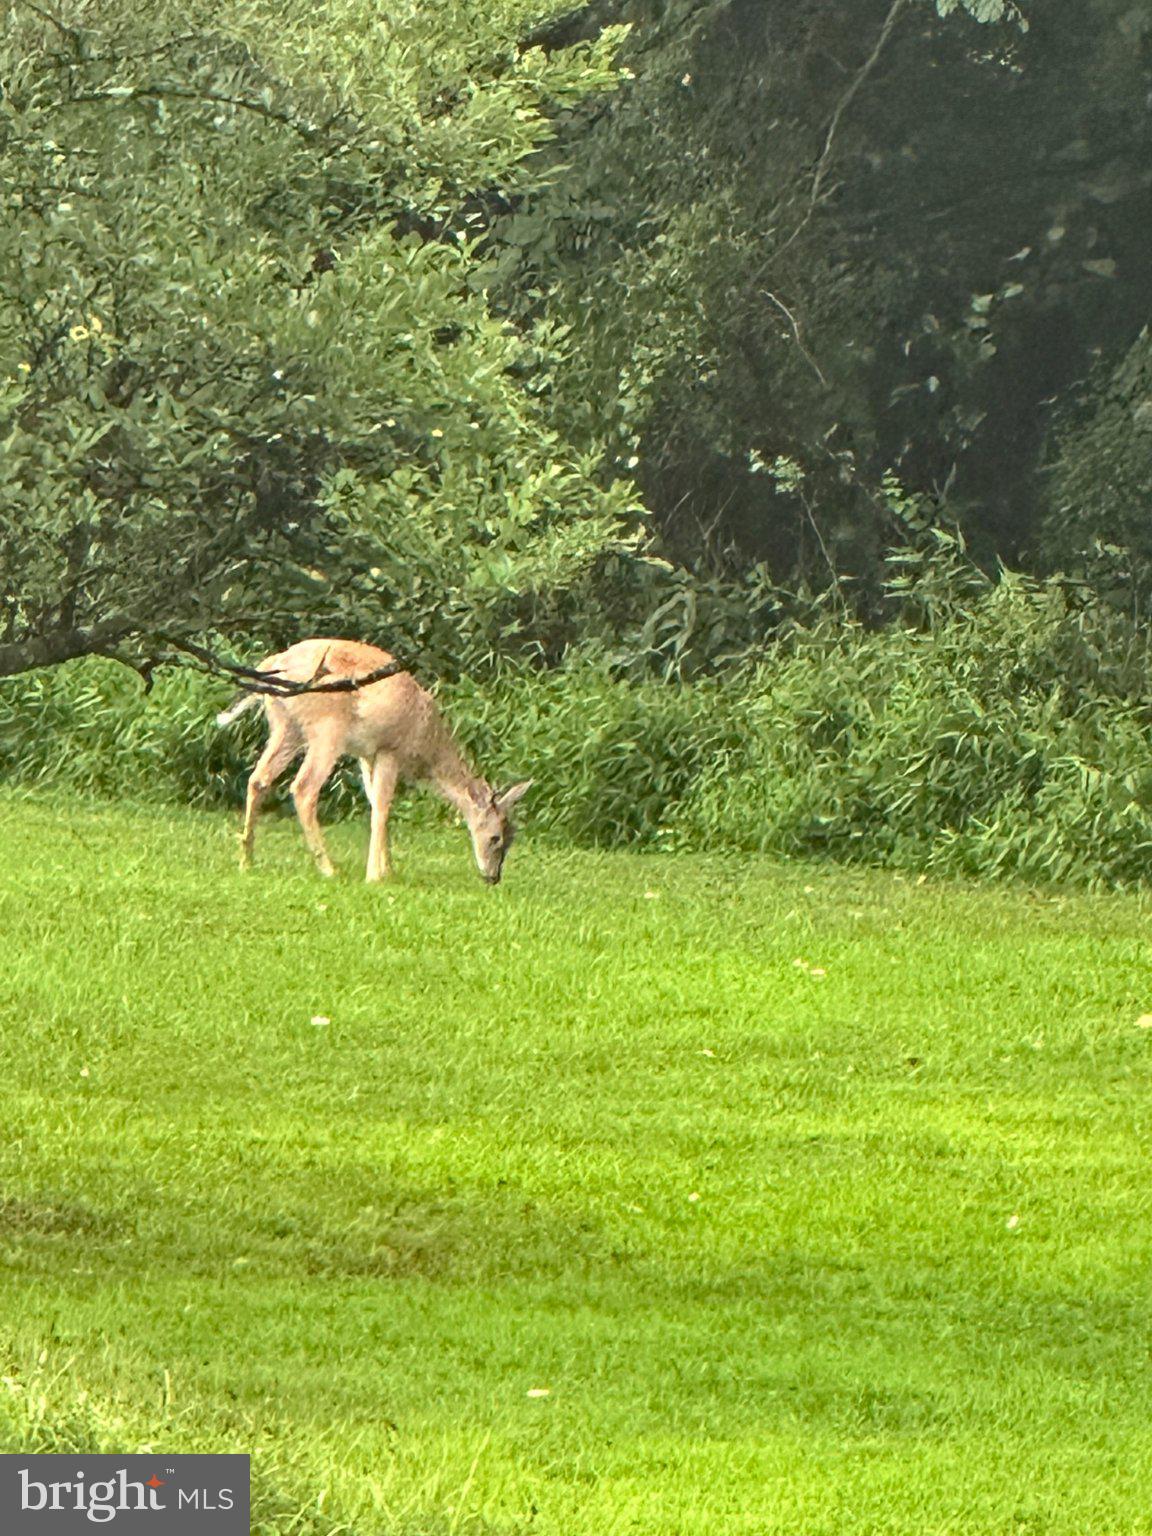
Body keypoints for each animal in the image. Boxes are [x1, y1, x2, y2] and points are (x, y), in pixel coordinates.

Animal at [215, 638, 531, 884]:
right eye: (496, 837)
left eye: (512, 835)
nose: (493, 877)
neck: (426, 744)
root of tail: (275, 663)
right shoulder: (389, 749)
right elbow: (382, 806)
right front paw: (376, 876)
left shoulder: (366, 754)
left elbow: (373, 801)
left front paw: (388, 868)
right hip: (327, 728)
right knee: (303, 788)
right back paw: (328, 868)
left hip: (285, 726)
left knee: (258, 779)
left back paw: (246, 860)